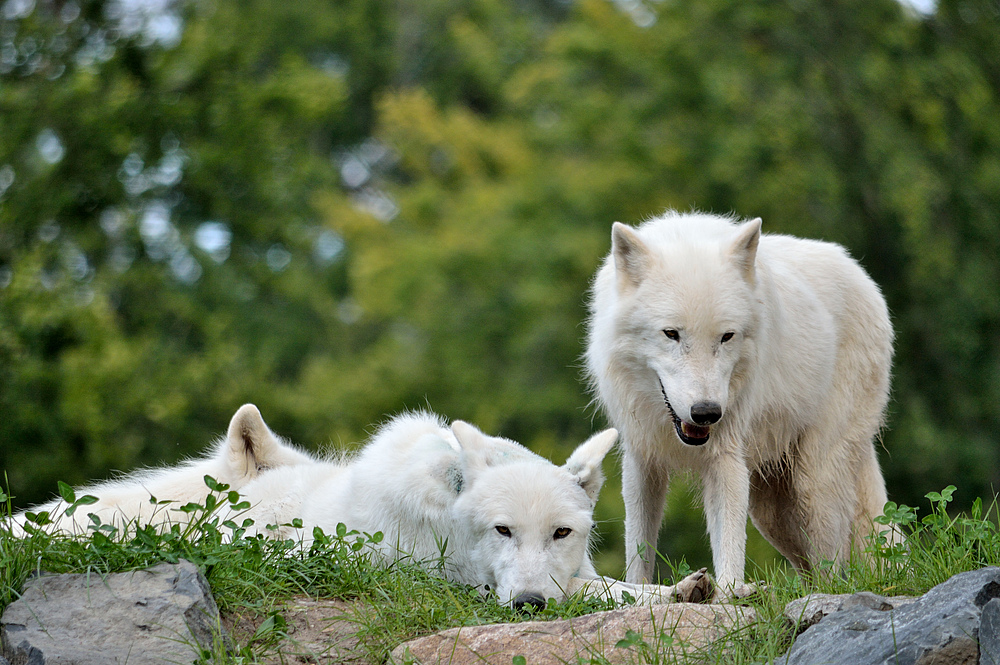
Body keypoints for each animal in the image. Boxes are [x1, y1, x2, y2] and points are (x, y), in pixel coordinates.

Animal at [9, 402, 712, 608]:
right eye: (502, 530)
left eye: (562, 533)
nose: (530, 605)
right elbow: (601, 595)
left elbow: (612, 587)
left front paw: (690, 589)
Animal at [584, 211, 896, 596]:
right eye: (671, 334)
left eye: (726, 337)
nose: (706, 413)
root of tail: (862, 275)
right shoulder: (642, 457)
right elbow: (638, 550)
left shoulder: (726, 453)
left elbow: (728, 540)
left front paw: (729, 592)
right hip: (771, 510)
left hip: (814, 481)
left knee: (833, 566)